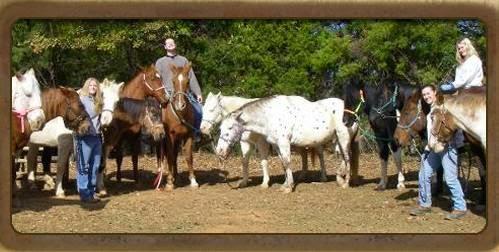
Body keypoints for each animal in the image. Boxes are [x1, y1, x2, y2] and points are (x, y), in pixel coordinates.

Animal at [97, 64, 168, 196]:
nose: (166, 99)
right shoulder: (120, 139)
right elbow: (119, 158)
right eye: (152, 78)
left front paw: (136, 180)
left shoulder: (135, 138)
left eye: (160, 77)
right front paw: (119, 179)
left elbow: (134, 158)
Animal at [215, 95, 352, 193]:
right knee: (341, 158)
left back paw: (345, 183)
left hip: (342, 137)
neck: (270, 116)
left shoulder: (283, 142)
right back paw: (338, 179)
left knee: (347, 157)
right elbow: (283, 163)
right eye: (220, 128)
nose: (219, 150)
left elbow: (286, 162)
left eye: (230, 127)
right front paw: (284, 184)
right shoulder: (276, 145)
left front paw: (289, 187)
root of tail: (351, 112)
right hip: (335, 140)